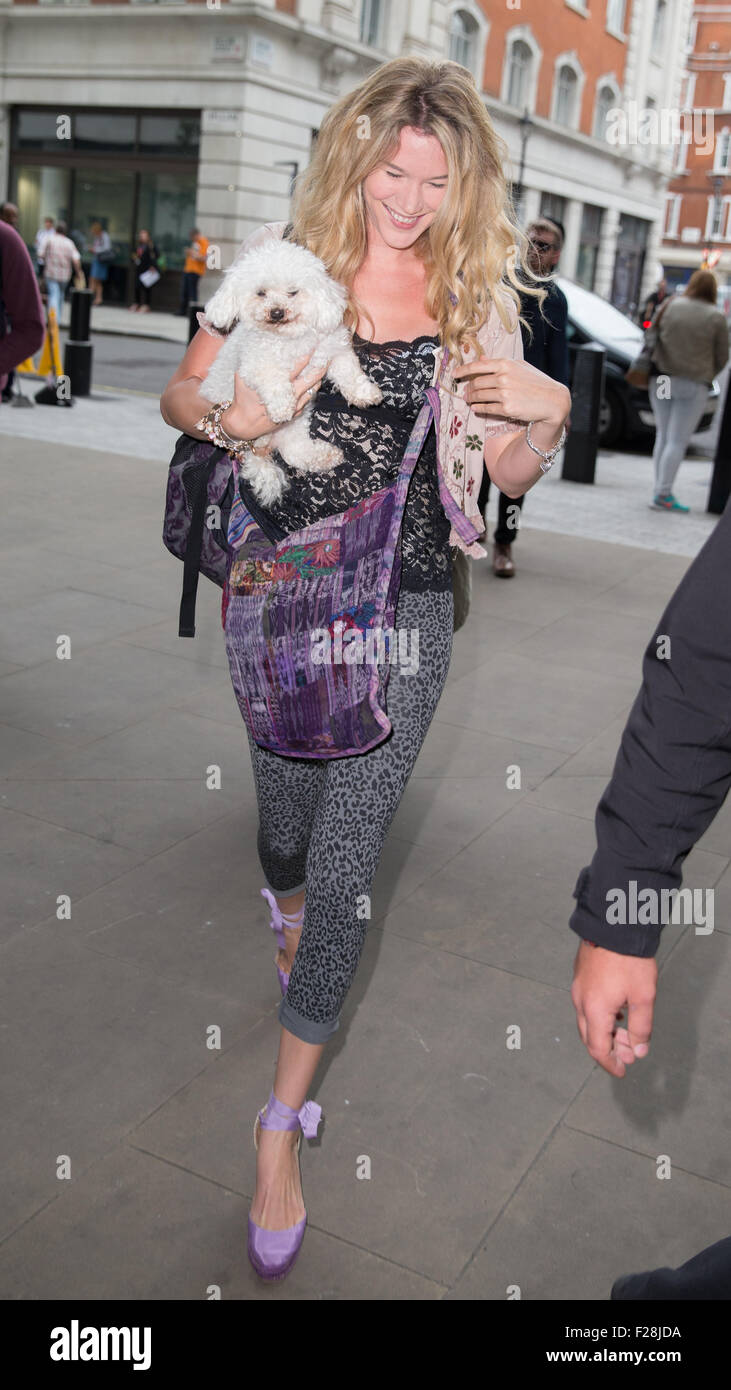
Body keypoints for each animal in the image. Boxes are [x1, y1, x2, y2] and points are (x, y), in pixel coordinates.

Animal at [200, 236, 383, 503]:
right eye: (261, 293)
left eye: (293, 292)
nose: (276, 312)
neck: (289, 339)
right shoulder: (254, 365)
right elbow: (274, 381)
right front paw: (281, 406)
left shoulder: (332, 349)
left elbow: (349, 372)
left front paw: (364, 393)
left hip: (296, 426)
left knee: (295, 451)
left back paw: (324, 456)